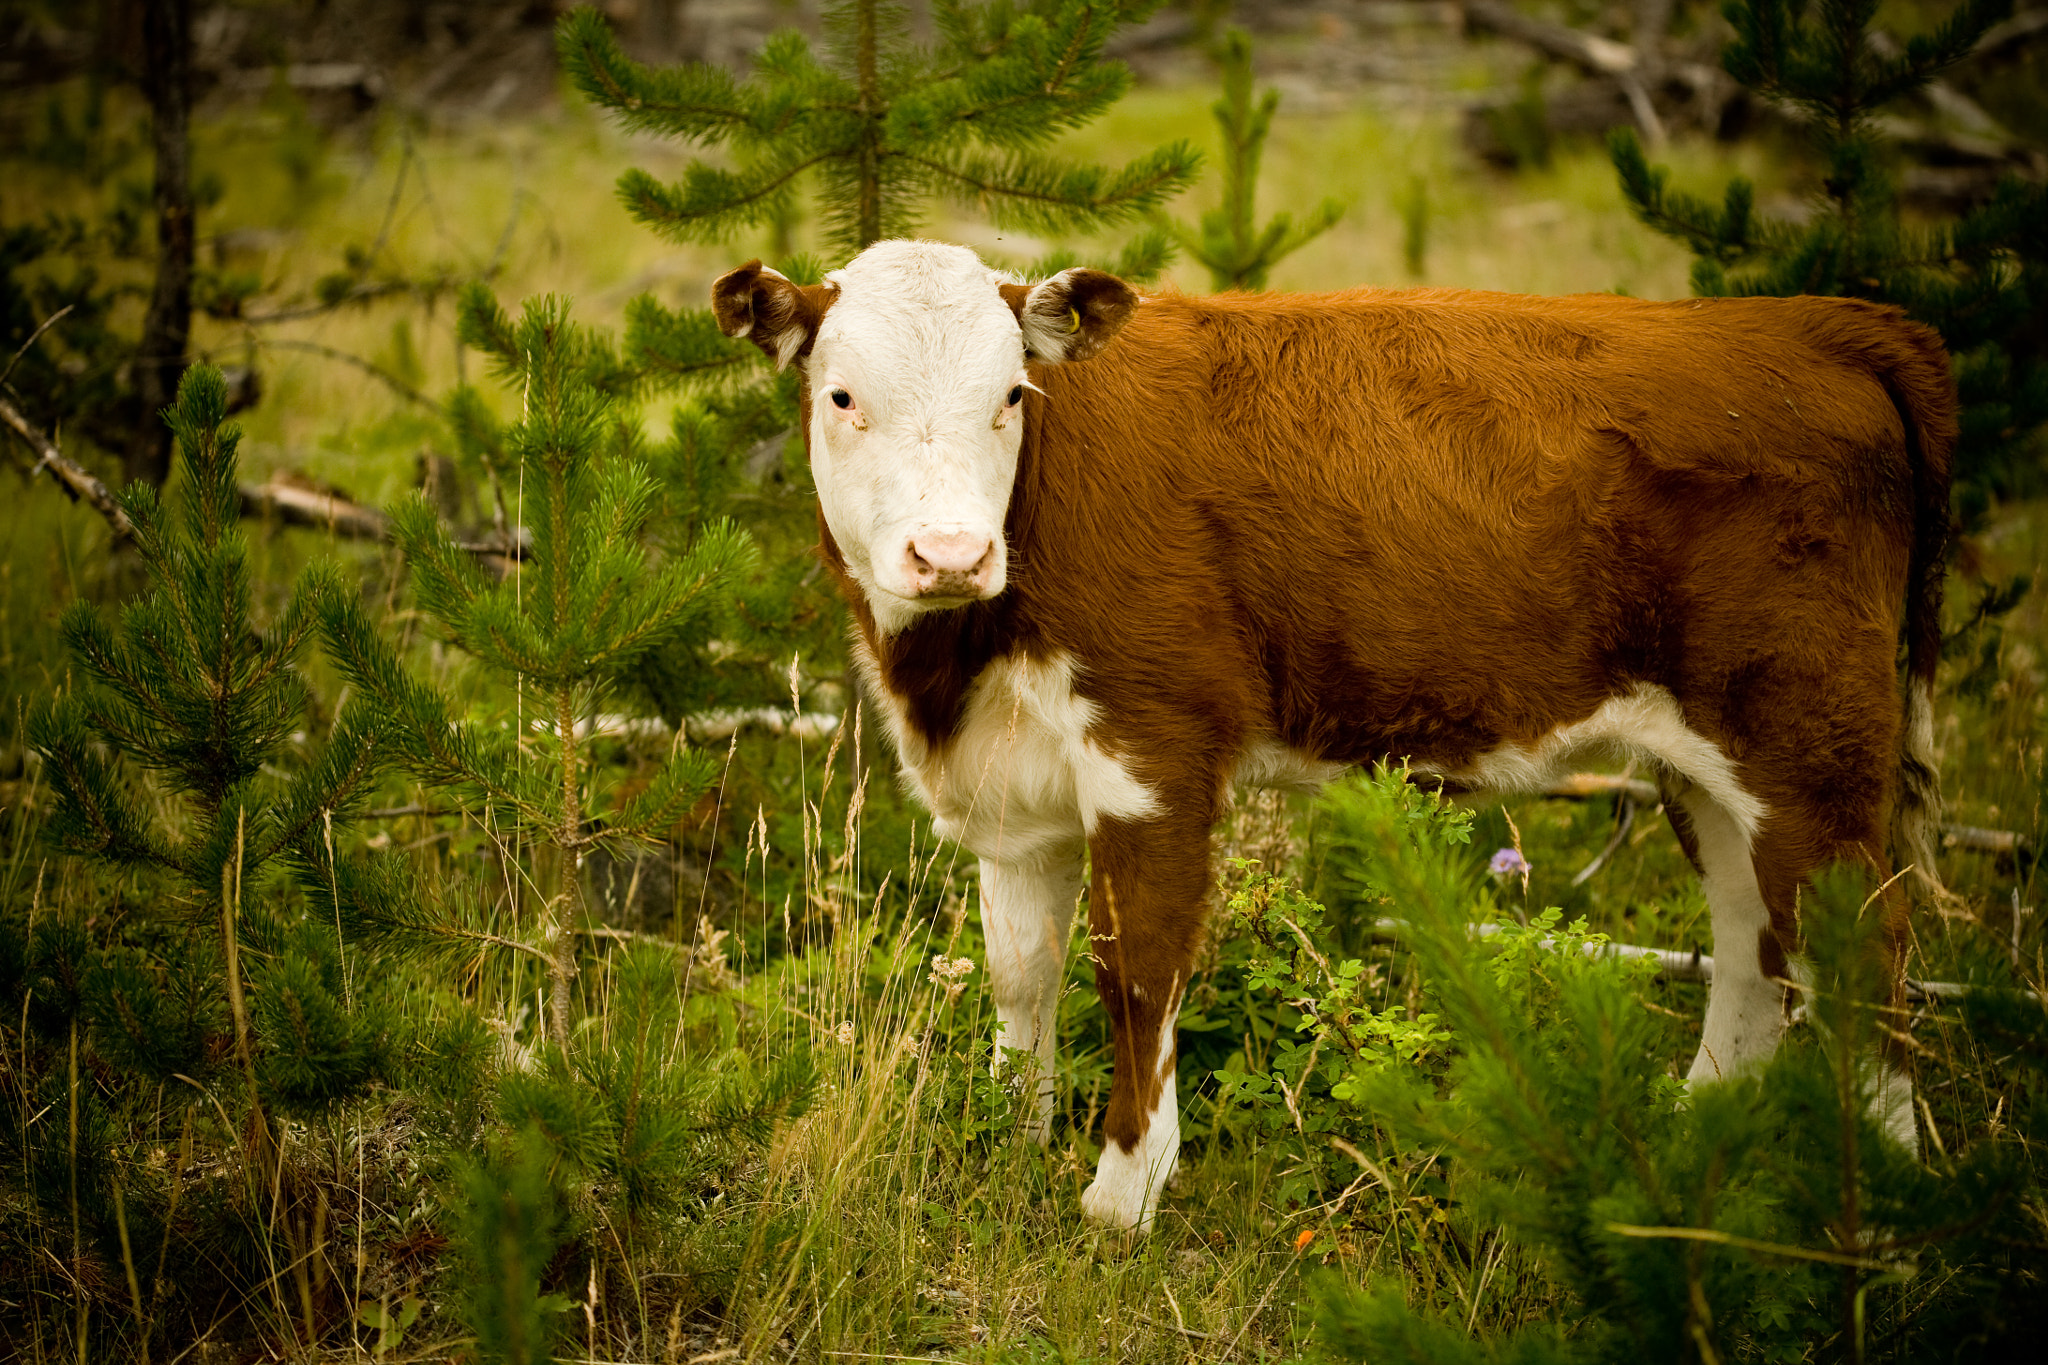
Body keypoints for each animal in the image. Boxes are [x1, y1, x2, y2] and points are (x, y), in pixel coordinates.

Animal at [716, 240, 1949, 1236]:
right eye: (840, 395)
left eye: (1009, 395)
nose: (949, 554)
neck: (955, 667)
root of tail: (1822, 321)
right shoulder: (1014, 791)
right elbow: (1022, 973)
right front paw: (1008, 1143)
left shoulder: (1154, 749)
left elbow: (1135, 970)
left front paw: (1122, 1196)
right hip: (1711, 761)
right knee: (1753, 936)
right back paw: (1698, 1134)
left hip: (1811, 740)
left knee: (1863, 950)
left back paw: (1889, 1204)